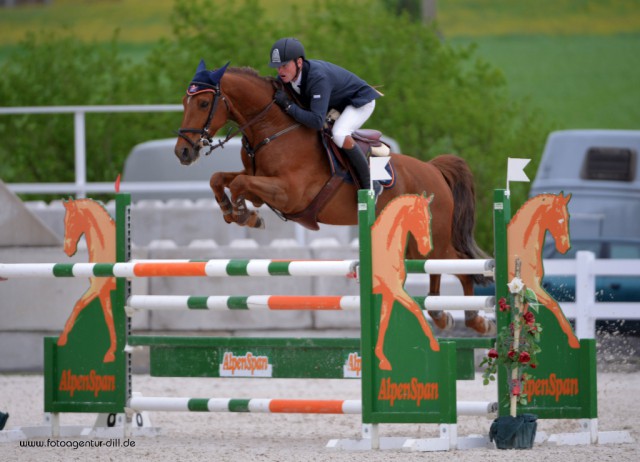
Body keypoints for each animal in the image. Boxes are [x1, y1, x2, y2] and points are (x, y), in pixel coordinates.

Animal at [172, 61, 492, 336]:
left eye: (203, 103)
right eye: (186, 102)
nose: (182, 152)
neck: (273, 130)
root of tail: (434, 170)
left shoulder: (290, 193)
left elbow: (239, 184)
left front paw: (244, 214)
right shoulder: (259, 181)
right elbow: (220, 179)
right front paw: (233, 211)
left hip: (435, 238)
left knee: (462, 267)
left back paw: (476, 320)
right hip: (416, 244)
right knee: (436, 269)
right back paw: (440, 315)